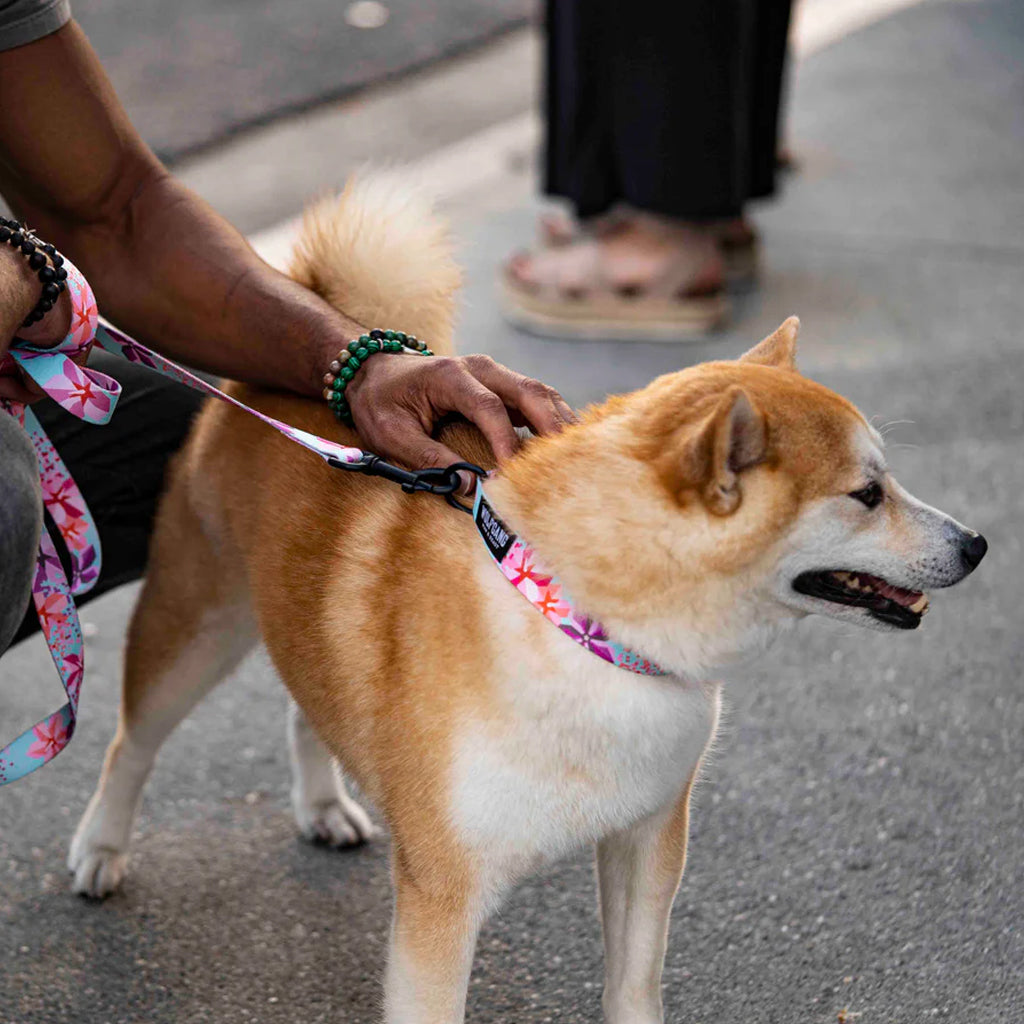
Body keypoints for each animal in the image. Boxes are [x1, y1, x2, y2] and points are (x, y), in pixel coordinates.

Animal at [66, 180, 983, 1019]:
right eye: (868, 494)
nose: (975, 545)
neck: (583, 630)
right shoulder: (442, 899)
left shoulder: (647, 838)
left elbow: (635, 989)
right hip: (197, 625)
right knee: (131, 740)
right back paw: (101, 847)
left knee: (308, 700)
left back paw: (323, 803)